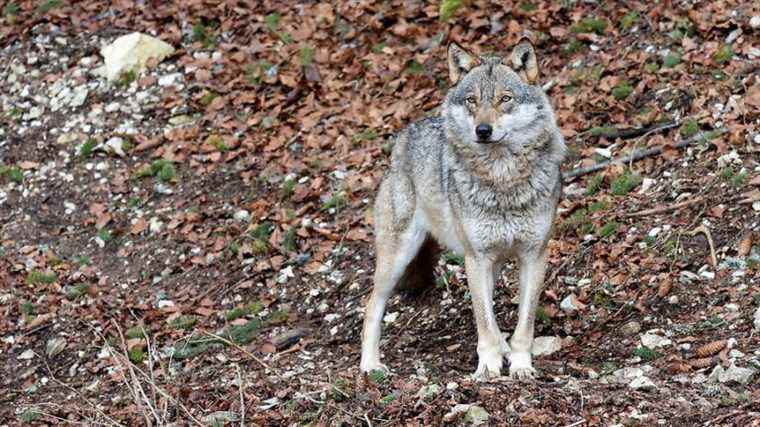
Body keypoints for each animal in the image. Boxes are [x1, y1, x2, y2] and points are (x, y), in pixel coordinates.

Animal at [360, 40, 564, 382]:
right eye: (472, 100)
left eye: (505, 99)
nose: (483, 130)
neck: (502, 180)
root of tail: (403, 136)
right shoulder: (476, 257)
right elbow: (484, 321)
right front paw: (488, 367)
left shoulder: (534, 256)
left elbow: (523, 325)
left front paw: (520, 364)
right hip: (398, 258)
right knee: (371, 305)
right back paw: (370, 365)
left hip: (488, 262)